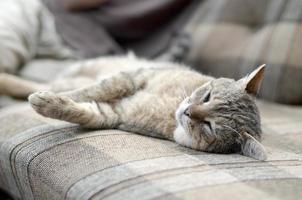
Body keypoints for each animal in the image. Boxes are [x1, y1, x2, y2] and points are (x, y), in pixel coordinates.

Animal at [0, 55, 266, 160]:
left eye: (209, 127)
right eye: (208, 96)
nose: (187, 112)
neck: (170, 107)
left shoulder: (113, 115)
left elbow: (81, 109)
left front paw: (48, 103)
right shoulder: (133, 77)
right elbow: (90, 91)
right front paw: (53, 98)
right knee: (44, 83)